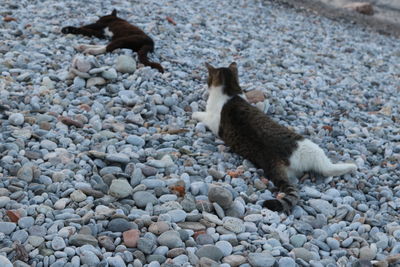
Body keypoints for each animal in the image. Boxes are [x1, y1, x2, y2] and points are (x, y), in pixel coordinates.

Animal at [192, 62, 358, 214]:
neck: (229, 91)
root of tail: (281, 157)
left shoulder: (211, 119)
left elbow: (200, 115)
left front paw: (194, 113)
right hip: (311, 151)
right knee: (327, 169)